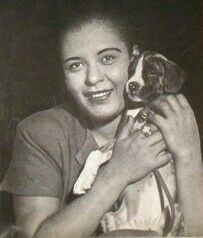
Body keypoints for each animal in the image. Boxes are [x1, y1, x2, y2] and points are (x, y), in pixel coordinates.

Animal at [73, 50, 186, 236]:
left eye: (151, 73)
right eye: (131, 71)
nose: (132, 85)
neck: (140, 108)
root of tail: (145, 227)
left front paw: (147, 126)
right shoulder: (121, 139)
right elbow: (95, 153)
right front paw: (83, 180)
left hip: (177, 215)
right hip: (108, 219)